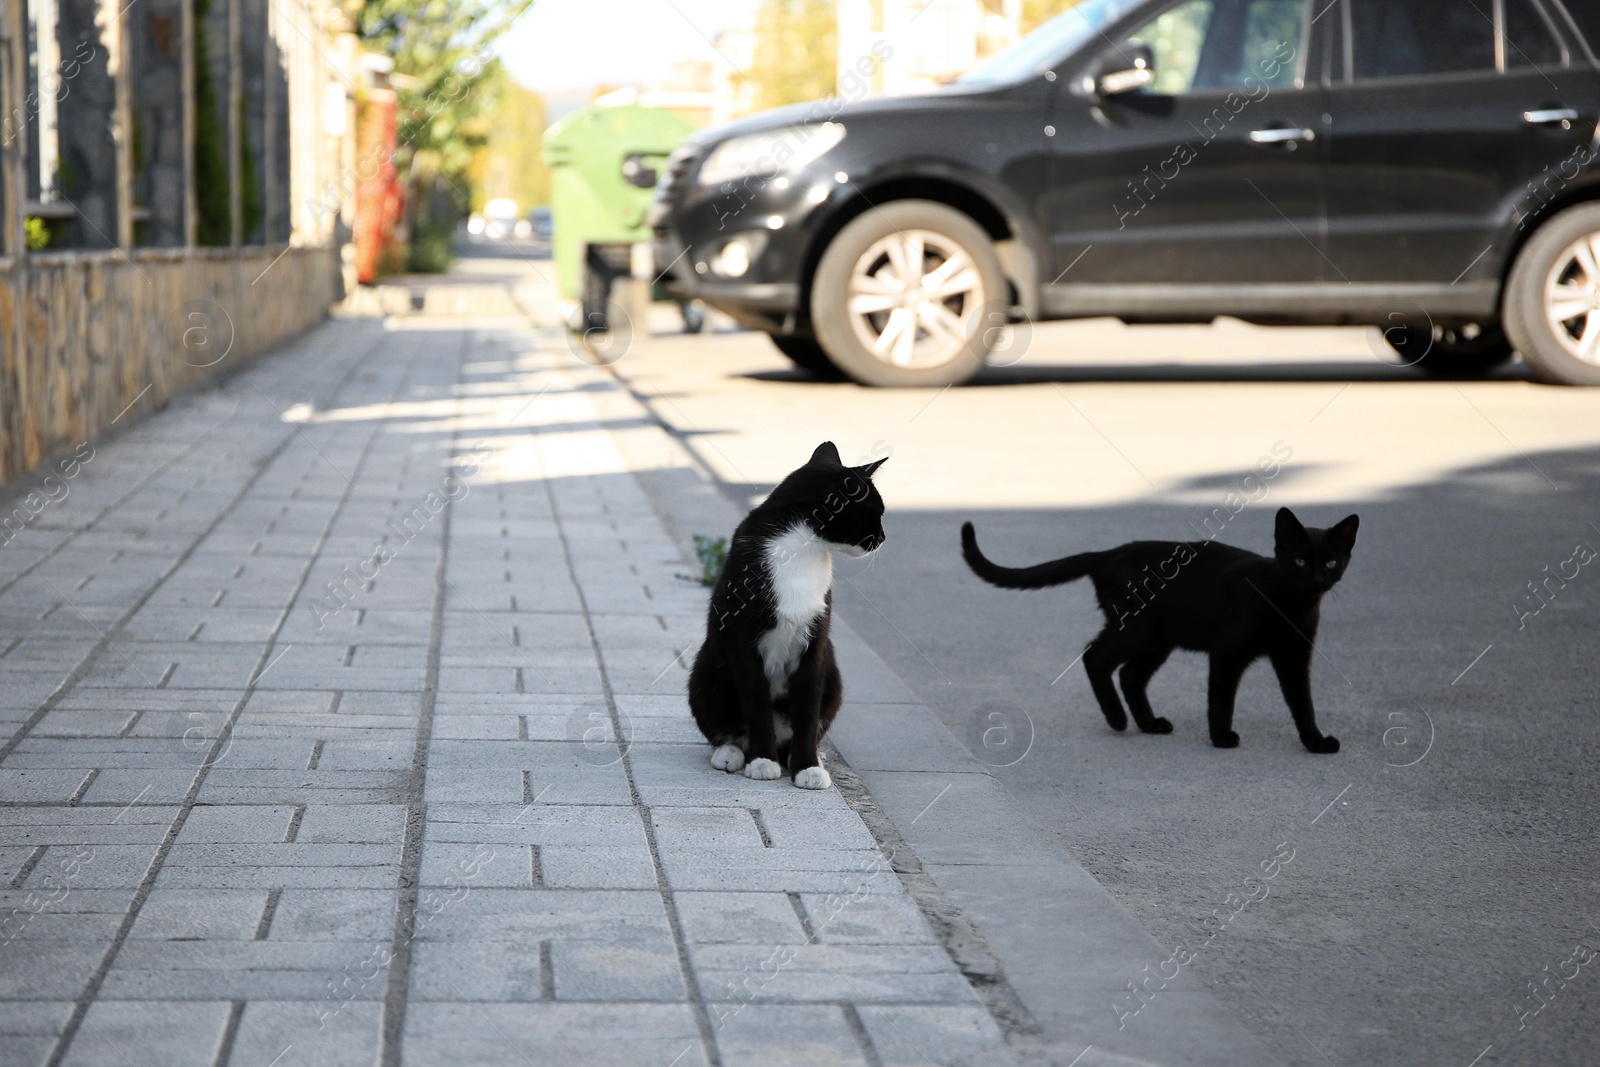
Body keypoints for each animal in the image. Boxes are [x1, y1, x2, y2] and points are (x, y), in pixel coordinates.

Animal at [688, 441, 889, 783]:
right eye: (877, 512)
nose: (883, 538)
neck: (802, 548)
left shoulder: (816, 643)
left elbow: (808, 708)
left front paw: (807, 765)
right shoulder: (742, 641)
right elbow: (755, 704)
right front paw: (762, 761)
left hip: (834, 676)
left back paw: (803, 755)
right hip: (706, 668)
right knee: (727, 726)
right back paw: (733, 753)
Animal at [953, 508, 1356, 751]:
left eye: (1330, 562)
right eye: (1300, 561)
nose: (1317, 579)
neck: (1293, 603)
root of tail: (1107, 554)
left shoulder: (1295, 657)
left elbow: (1303, 702)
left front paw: (1315, 742)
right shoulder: (1227, 652)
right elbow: (1221, 698)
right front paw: (1221, 737)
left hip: (1160, 639)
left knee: (1129, 675)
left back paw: (1148, 724)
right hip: (1139, 630)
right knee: (1095, 656)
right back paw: (1117, 718)